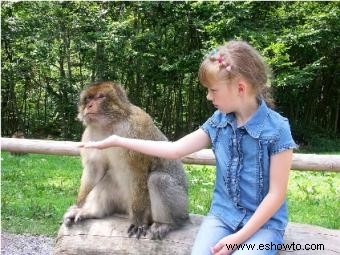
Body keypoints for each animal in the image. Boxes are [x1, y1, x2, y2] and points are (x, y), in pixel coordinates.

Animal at [63, 81, 189, 239]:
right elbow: (95, 169)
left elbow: (138, 172)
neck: (110, 124)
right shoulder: (90, 136)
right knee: (108, 177)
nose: (89, 106)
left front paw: (139, 221)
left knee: (158, 180)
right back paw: (93, 212)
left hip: (181, 205)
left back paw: (165, 224)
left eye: (100, 97)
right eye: (88, 99)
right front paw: (79, 206)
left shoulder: (137, 128)